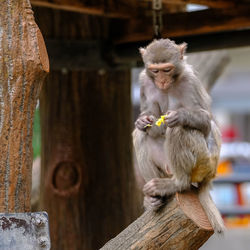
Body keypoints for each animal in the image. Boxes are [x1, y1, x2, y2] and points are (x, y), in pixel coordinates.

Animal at [134, 38, 226, 233]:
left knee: (179, 129)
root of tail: (211, 174)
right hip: (166, 167)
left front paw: (180, 115)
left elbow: (206, 121)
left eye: (167, 69)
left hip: (203, 163)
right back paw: (154, 199)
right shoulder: (144, 80)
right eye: (155, 70)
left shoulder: (191, 81)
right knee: (140, 135)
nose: (161, 80)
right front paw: (142, 121)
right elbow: (150, 122)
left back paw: (178, 183)